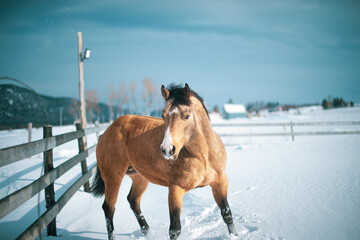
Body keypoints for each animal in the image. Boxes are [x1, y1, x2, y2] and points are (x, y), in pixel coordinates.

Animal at [91, 83, 236, 239]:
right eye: (163, 115)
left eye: (186, 116)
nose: (167, 149)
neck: (203, 156)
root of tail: (106, 132)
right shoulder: (176, 189)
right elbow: (175, 228)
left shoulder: (220, 182)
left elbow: (227, 214)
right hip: (113, 178)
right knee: (109, 208)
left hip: (139, 178)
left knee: (133, 200)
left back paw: (147, 231)